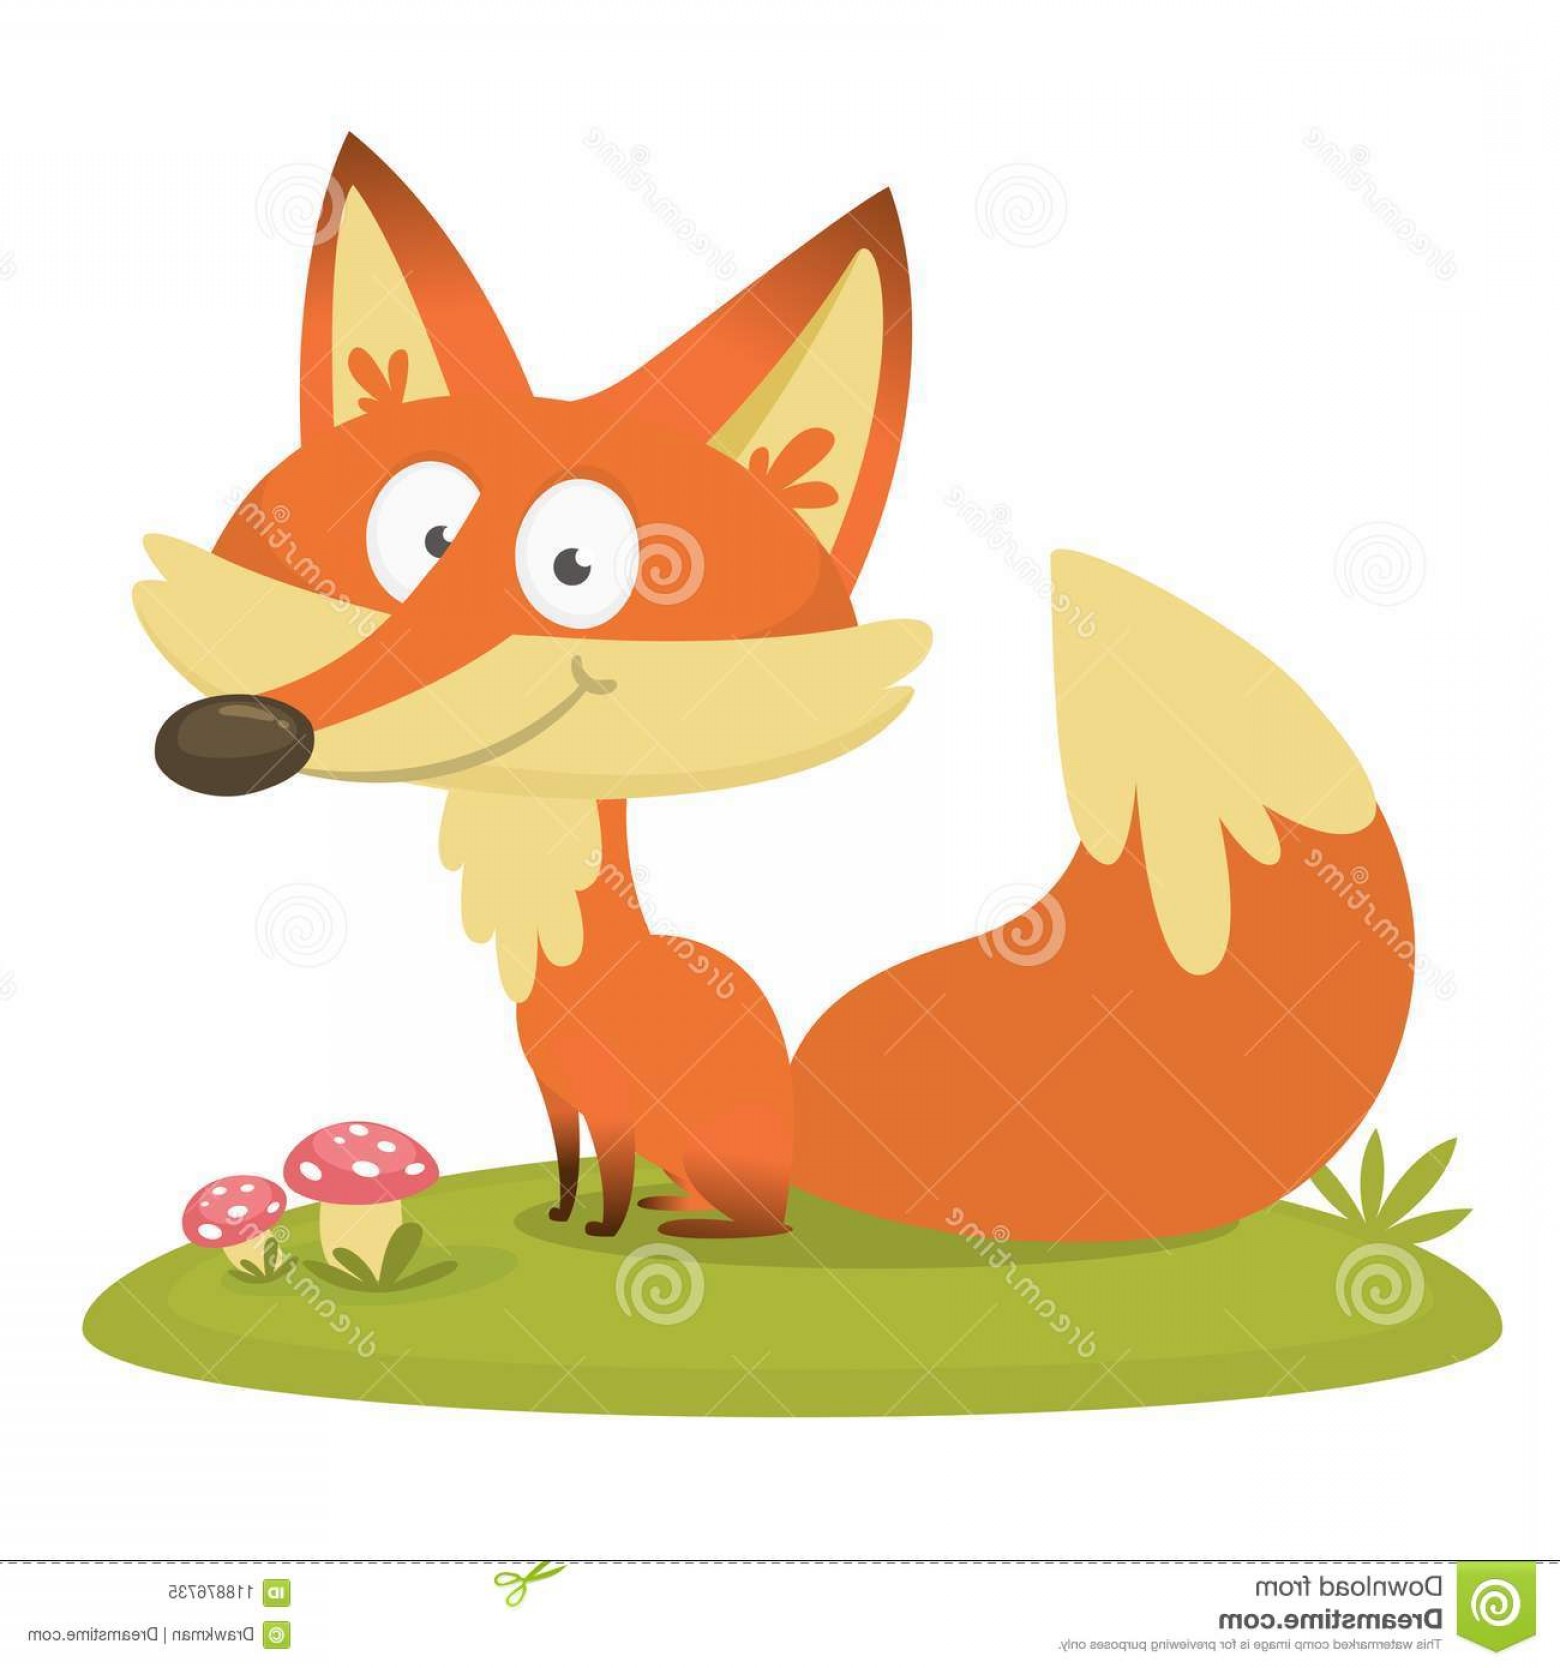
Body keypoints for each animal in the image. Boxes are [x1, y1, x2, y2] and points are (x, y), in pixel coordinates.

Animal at [138, 136, 1414, 1243]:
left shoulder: (615, 1094)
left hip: (730, 1149)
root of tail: (808, 1145)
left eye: (576, 567)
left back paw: (696, 1222)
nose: (228, 739)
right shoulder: (553, 1088)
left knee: (760, 1218)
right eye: (425, 537)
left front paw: (601, 1238)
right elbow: (563, 1161)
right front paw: (559, 1221)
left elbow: (606, 1168)